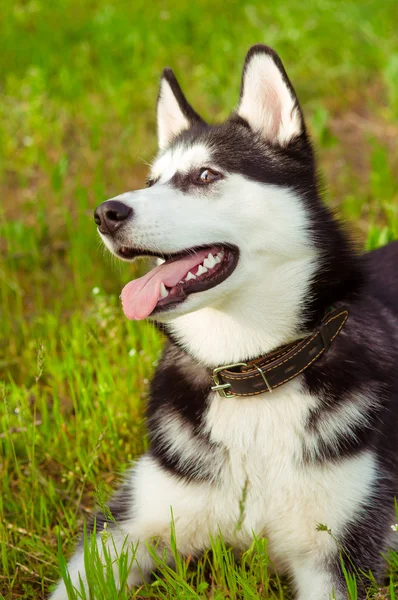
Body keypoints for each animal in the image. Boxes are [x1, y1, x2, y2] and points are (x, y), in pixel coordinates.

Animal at [51, 44, 398, 596]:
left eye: (205, 176)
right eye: (152, 182)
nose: (105, 214)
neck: (253, 372)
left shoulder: (342, 554)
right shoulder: (124, 527)